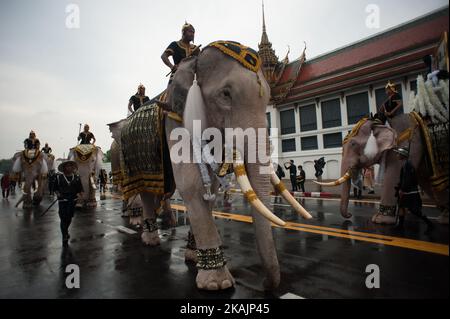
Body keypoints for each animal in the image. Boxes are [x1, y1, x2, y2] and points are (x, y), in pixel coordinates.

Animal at [118, 42, 312, 292]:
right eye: (225, 94)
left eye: (267, 98)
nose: (264, 284)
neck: (194, 62)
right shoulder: (175, 120)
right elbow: (192, 184)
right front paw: (218, 284)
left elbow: (208, 187)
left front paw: (193, 257)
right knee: (145, 192)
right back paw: (150, 238)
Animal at [314, 112, 448, 225]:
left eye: (353, 144)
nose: (350, 215)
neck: (381, 123)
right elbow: (425, 180)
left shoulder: (408, 145)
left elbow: (394, 176)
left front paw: (380, 219)